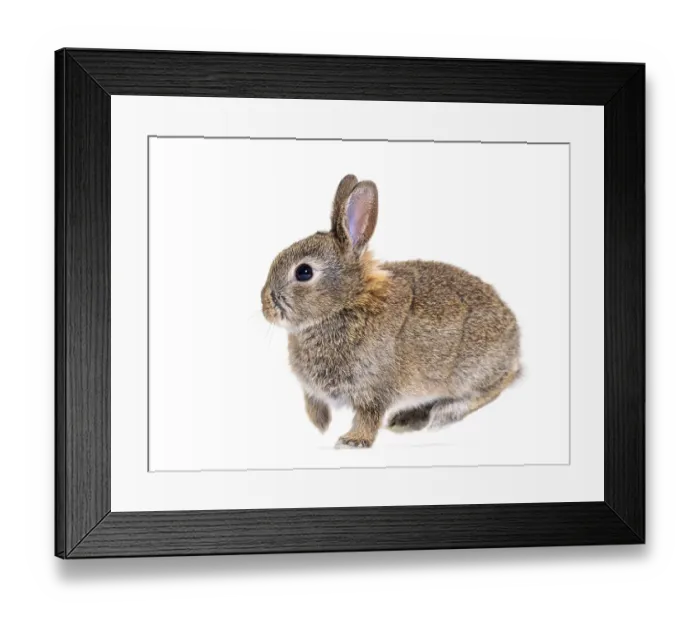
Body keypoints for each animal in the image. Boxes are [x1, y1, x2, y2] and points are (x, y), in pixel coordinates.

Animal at [261, 174, 521, 449]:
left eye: (304, 272)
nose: (265, 307)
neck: (348, 302)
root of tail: (514, 337)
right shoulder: (314, 393)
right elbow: (316, 410)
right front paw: (321, 428)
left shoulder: (373, 388)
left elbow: (368, 416)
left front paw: (352, 441)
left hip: (473, 370)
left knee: (493, 387)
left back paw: (445, 413)